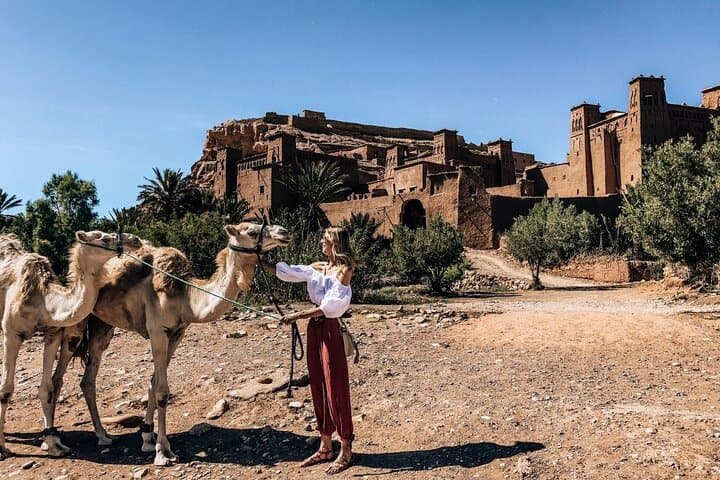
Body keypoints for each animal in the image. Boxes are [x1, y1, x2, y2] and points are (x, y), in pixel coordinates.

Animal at [0, 230, 142, 459]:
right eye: (104, 237)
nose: (134, 240)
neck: (43, 300)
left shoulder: (53, 334)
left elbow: (47, 388)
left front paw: (55, 445)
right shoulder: (12, 334)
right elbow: (6, 390)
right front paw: (2, 448)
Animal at [52, 222, 290, 466]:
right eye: (251, 231)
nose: (284, 232)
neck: (185, 297)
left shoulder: (178, 333)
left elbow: (153, 382)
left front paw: (147, 437)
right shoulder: (158, 331)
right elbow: (162, 391)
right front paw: (162, 451)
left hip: (103, 326)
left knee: (87, 380)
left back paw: (102, 436)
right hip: (74, 327)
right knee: (57, 378)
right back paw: (53, 442)